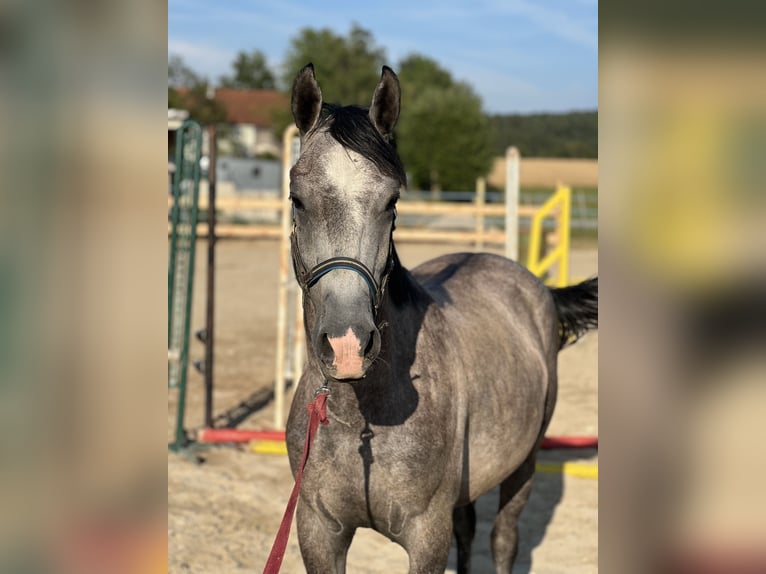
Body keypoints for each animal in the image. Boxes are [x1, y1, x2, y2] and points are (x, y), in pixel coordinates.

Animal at [284, 63, 598, 574]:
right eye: (297, 198)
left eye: (391, 202)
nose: (347, 345)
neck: (362, 421)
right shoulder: (318, 532)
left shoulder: (427, 537)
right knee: (468, 530)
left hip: (525, 463)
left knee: (503, 539)